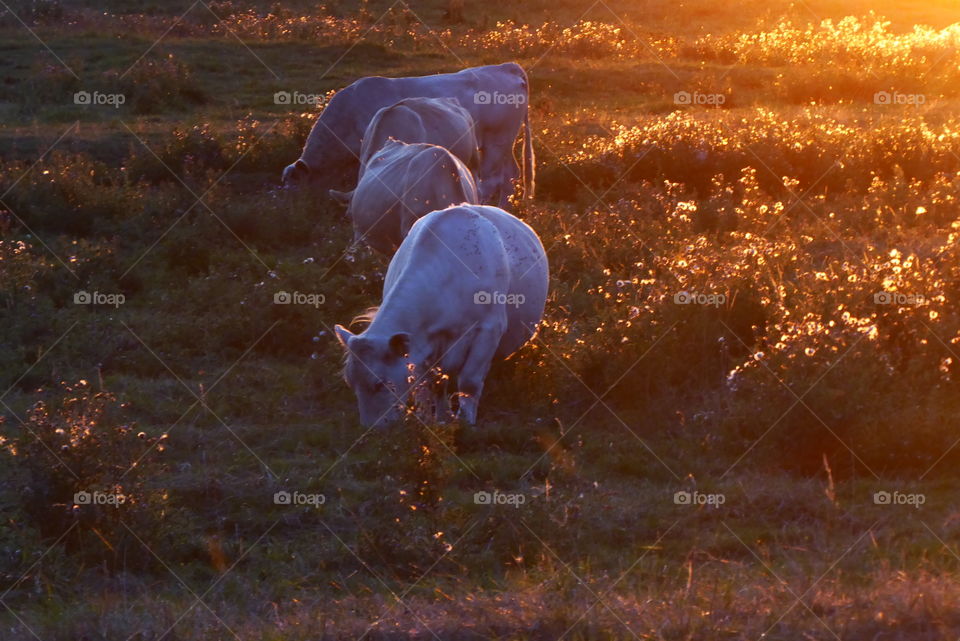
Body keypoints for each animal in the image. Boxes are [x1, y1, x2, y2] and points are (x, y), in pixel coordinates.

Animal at [282, 62, 536, 205]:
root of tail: (505, 67)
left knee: (494, 180)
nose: (293, 211)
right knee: (511, 174)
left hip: (496, 142)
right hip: (504, 144)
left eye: (296, 187)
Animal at [336, 204, 548, 424]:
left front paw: (465, 422)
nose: (372, 428)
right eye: (351, 383)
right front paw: (438, 419)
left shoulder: (489, 330)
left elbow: (469, 382)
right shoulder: (422, 345)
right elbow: (433, 383)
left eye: (379, 383)